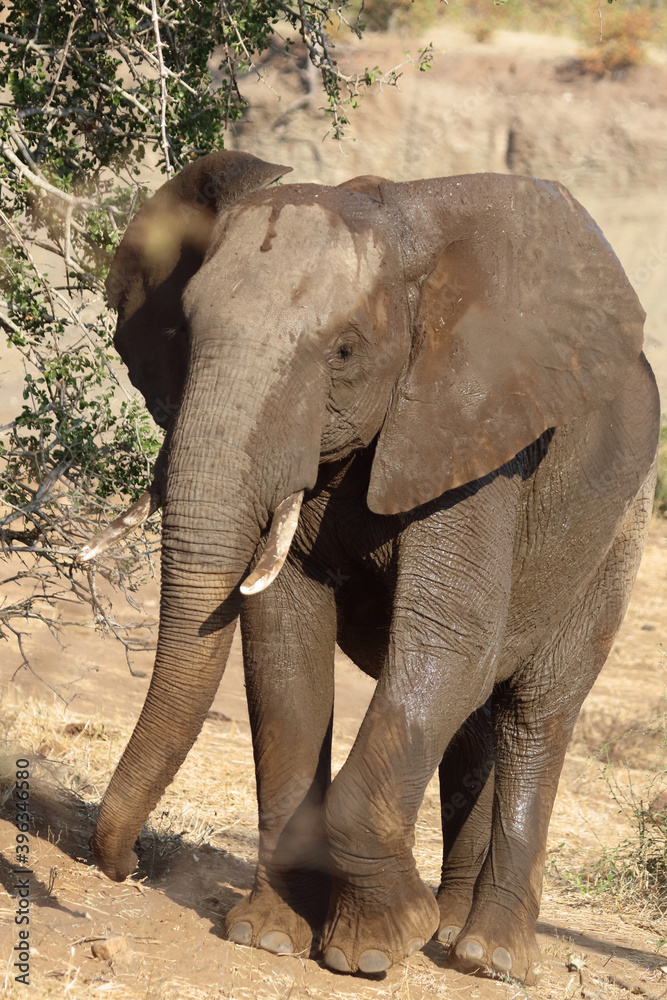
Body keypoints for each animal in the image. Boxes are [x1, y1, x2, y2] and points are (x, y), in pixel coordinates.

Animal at [88, 149, 659, 985]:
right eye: (185, 335)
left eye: (344, 352)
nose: (129, 867)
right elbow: (281, 642)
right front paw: (269, 937)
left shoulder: (478, 432)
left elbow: (447, 641)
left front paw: (375, 946)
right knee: (474, 725)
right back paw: (450, 932)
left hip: (618, 530)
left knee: (534, 714)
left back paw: (486, 957)